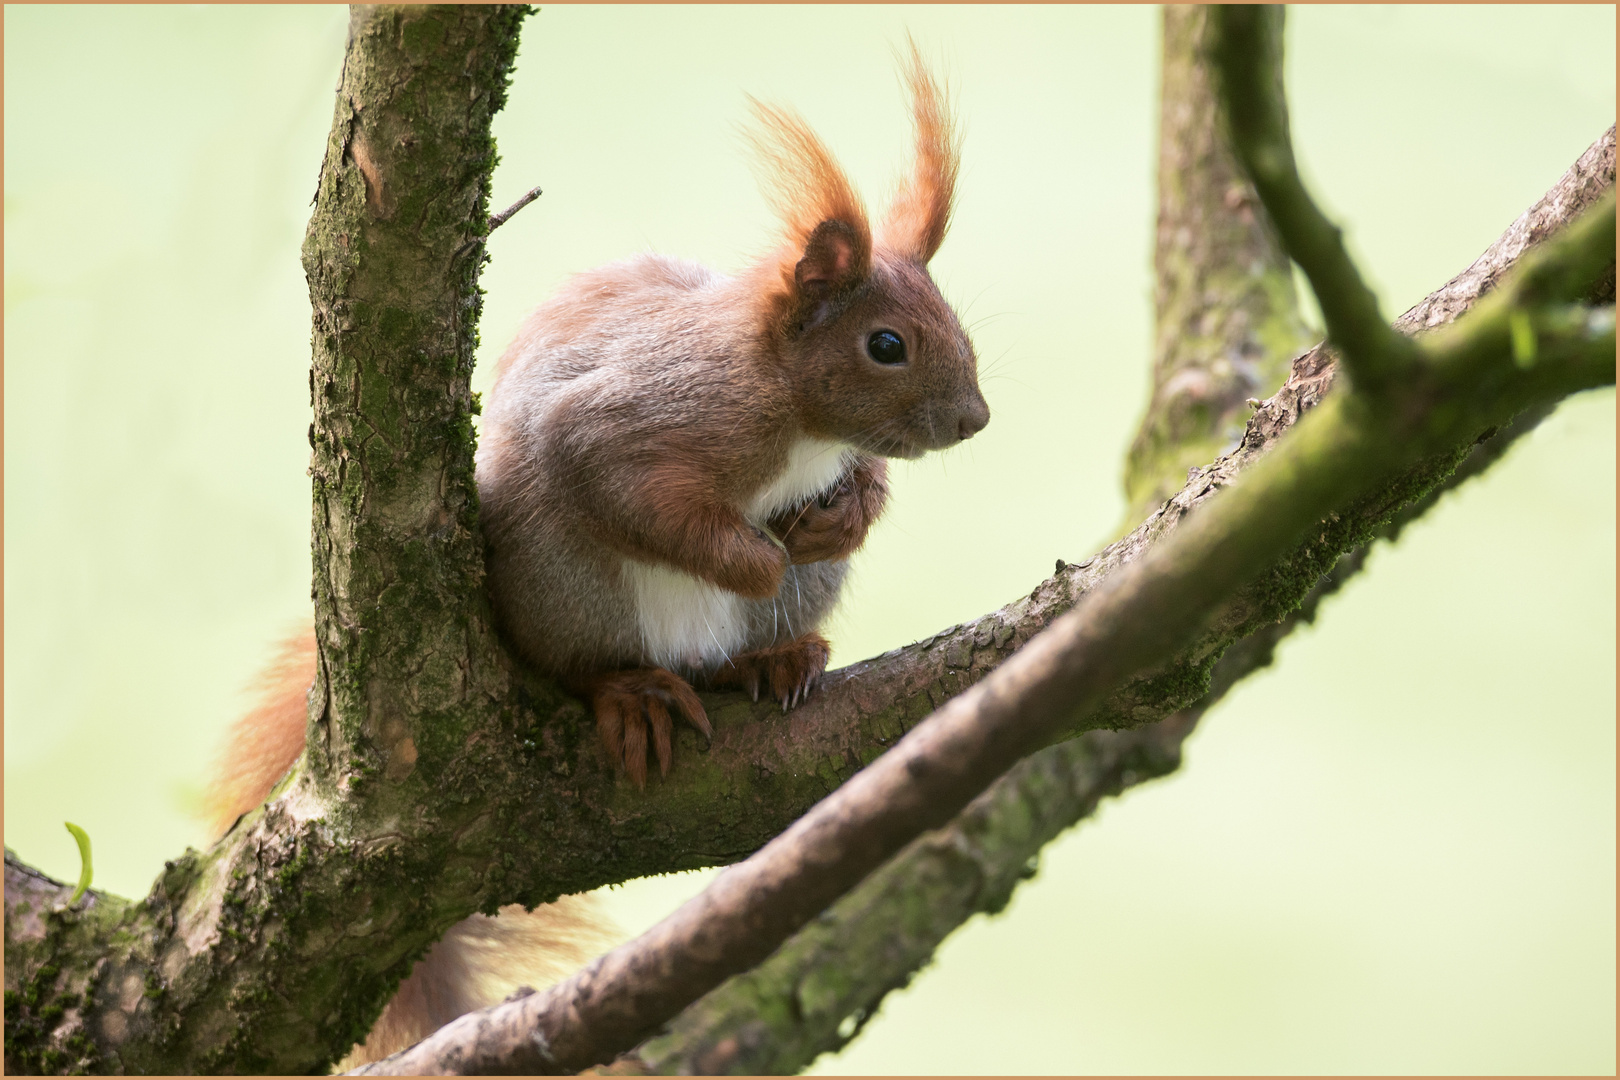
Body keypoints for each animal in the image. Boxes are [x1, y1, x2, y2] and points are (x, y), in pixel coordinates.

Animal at [204, 48, 984, 1062]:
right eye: (885, 344)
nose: (975, 418)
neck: (794, 411)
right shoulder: (635, 421)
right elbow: (641, 497)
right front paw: (756, 556)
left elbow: (860, 489)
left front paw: (839, 518)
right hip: (561, 581)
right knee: (582, 661)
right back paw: (634, 691)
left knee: (737, 653)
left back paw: (770, 658)